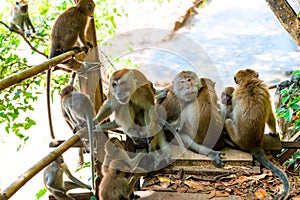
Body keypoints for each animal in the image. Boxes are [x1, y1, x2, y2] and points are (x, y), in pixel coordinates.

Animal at [46, 0, 95, 141]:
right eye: (91, 8)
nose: (92, 15)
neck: (79, 9)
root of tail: (53, 42)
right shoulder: (83, 19)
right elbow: (81, 35)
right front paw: (86, 44)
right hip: (68, 39)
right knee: (74, 32)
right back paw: (69, 49)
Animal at [226, 68, 290, 198]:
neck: (248, 81)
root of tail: (254, 144)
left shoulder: (235, 94)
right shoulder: (265, 91)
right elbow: (270, 115)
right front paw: (274, 133)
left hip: (237, 138)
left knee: (228, 121)